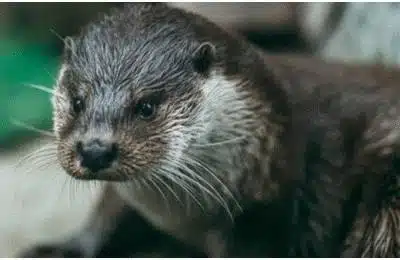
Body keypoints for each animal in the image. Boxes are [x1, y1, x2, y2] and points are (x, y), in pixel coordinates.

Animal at [20, 2, 398, 258]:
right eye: (77, 101)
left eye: (147, 107)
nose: (95, 150)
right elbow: (106, 213)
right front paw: (63, 248)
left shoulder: (260, 220)